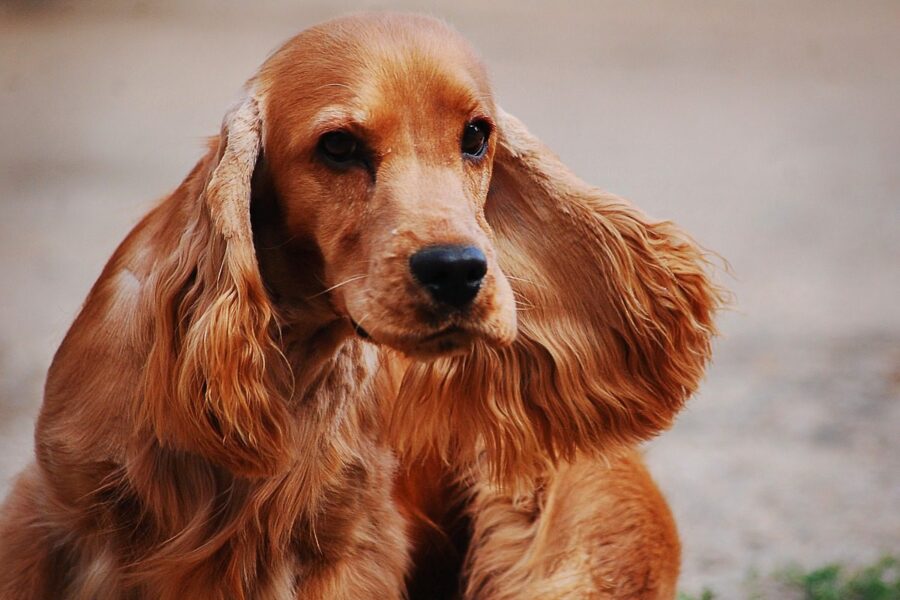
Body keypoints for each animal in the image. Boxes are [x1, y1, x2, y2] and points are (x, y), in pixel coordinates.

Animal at [0, 14, 720, 600]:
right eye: (339, 146)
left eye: (476, 135)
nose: (457, 270)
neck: (289, 365)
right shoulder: (51, 517)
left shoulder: (346, 549)